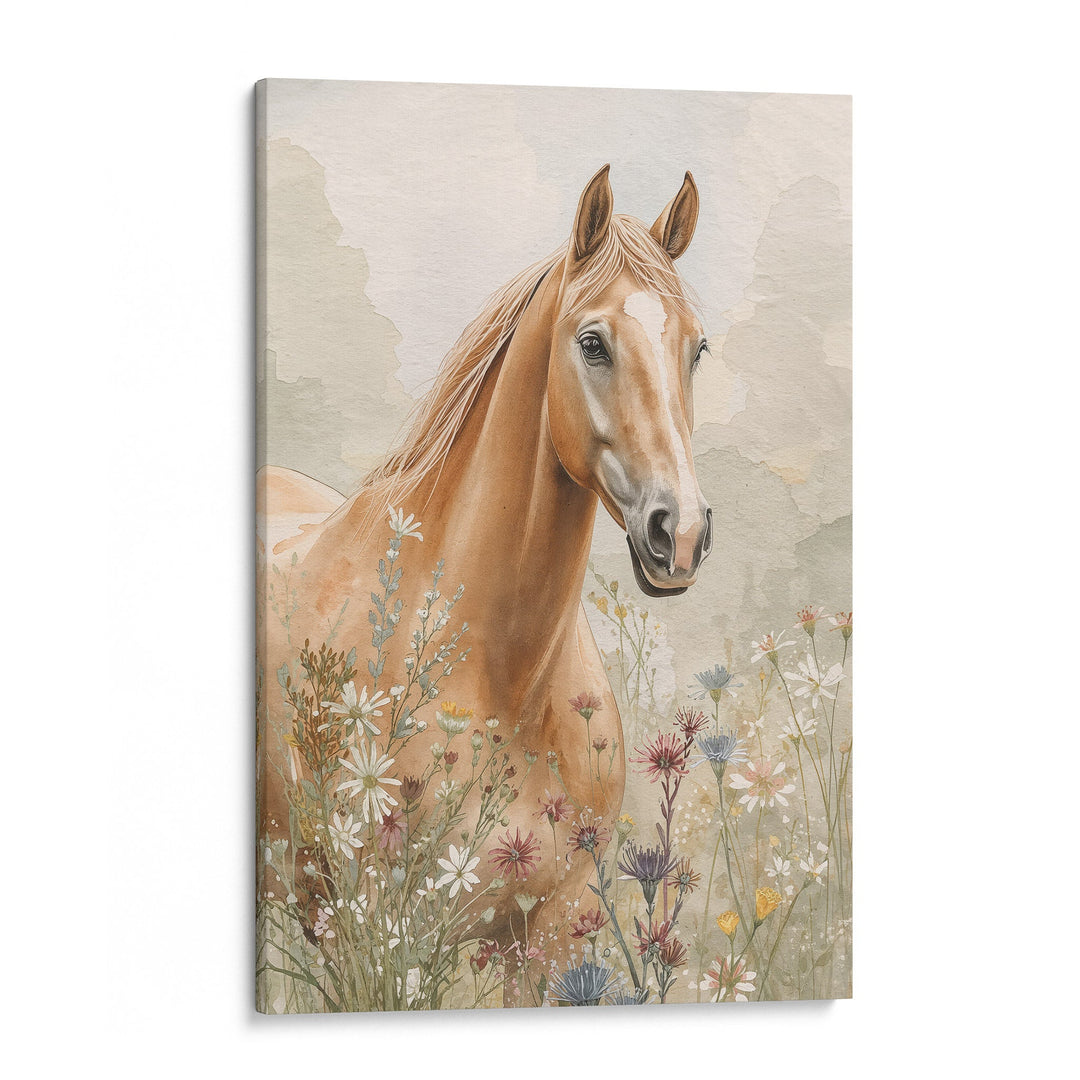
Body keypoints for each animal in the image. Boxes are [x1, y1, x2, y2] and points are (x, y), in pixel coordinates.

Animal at [257, 164, 713, 997]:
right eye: (592, 343)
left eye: (695, 348)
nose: (683, 534)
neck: (503, 678)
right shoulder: (379, 938)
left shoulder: (551, 937)